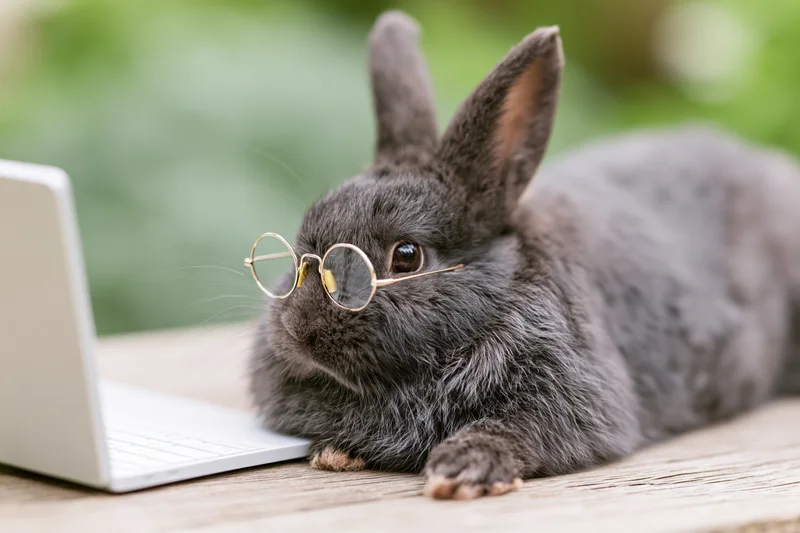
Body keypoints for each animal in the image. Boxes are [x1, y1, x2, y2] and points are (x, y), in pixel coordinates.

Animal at [248, 9, 800, 500]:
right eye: (303, 246)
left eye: (406, 256)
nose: (299, 330)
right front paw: (336, 450)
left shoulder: (576, 398)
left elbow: (524, 430)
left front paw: (464, 468)